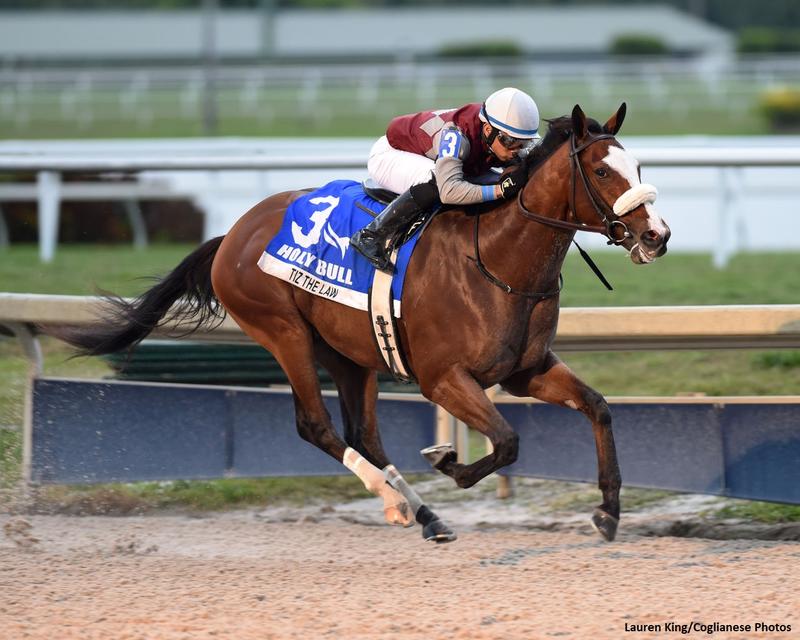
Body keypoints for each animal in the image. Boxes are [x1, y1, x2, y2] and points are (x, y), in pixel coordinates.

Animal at [54, 105, 668, 544]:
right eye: (601, 170)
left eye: (638, 167)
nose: (657, 235)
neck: (497, 257)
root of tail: (232, 233)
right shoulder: (443, 379)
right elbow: (508, 441)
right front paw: (448, 461)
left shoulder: (526, 370)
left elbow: (598, 408)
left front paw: (609, 511)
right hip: (283, 332)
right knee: (316, 426)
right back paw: (397, 504)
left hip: (349, 353)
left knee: (363, 434)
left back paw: (427, 517)